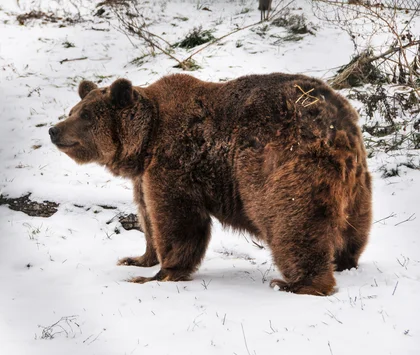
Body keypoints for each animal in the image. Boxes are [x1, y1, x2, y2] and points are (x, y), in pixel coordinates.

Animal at [49, 72, 370, 294]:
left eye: (85, 115)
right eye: (73, 110)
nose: (54, 130)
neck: (145, 143)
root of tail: (334, 123)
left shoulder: (175, 163)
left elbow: (177, 219)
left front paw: (161, 272)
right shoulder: (143, 177)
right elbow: (147, 216)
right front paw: (138, 258)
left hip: (281, 164)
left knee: (294, 223)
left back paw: (298, 283)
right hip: (356, 181)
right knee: (354, 226)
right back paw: (344, 260)